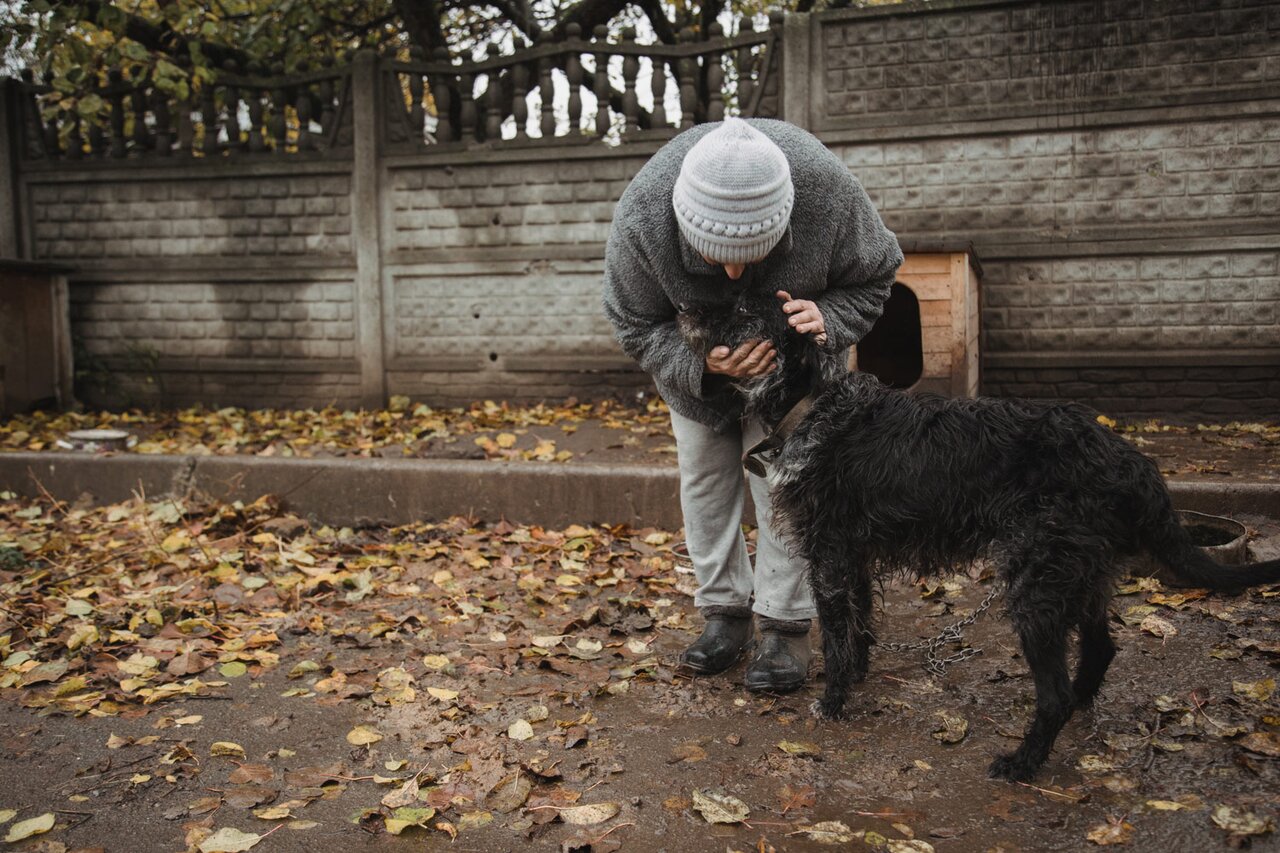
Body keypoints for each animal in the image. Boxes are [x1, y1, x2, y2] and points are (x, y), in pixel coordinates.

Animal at [686, 290, 1280, 778]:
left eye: (744, 309)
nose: (685, 309)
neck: (815, 407)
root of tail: (1127, 457)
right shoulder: (853, 556)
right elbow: (859, 627)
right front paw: (856, 678)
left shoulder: (829, 556)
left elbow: (835, 637)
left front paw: (832, 703)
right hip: (1082, 574)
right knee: (1101, 648)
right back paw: (1080, 709)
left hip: (1036, 584)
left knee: (1053, 694)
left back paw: (1022, 763)